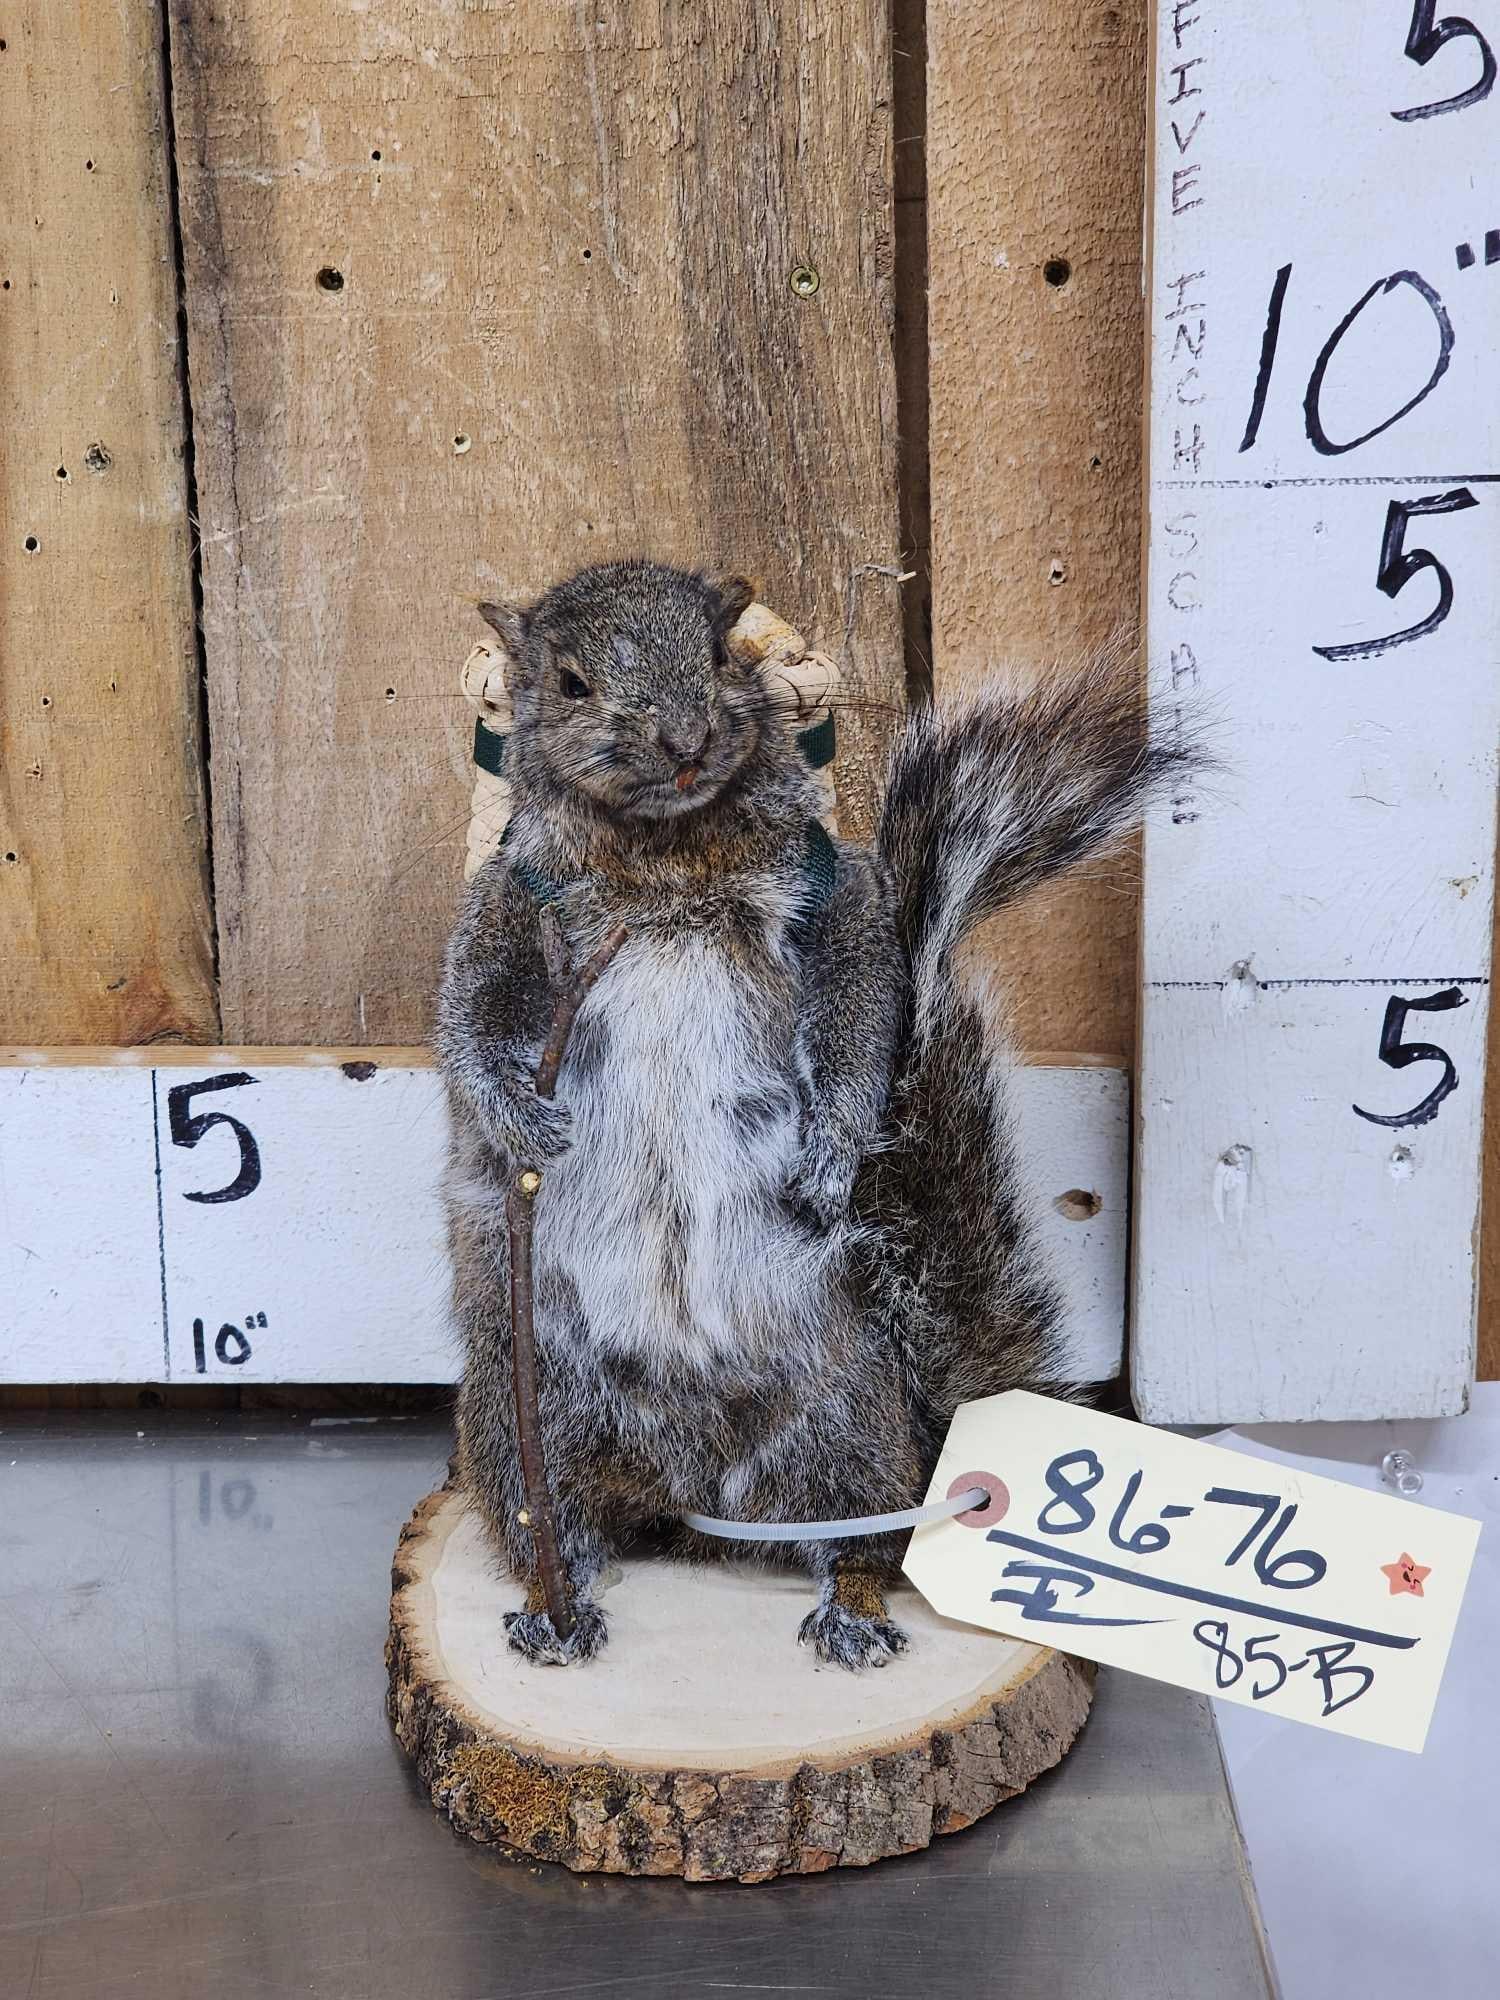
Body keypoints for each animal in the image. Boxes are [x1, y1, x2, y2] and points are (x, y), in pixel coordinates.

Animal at [436, 558, 1193, 1671]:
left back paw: (853, 1610)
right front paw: (516, 1119)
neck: (664, 852)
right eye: (570, 683)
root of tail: (693, 1496)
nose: (682, 740)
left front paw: (833, 1152)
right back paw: (553, 1605)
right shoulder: (509, 903)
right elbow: (471, 1011)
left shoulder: (832, 899)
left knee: (861, 1539)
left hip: (844, 1420)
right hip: (522, 1416)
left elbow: (861, 1010)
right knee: (556, 1521)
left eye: (719, 653)